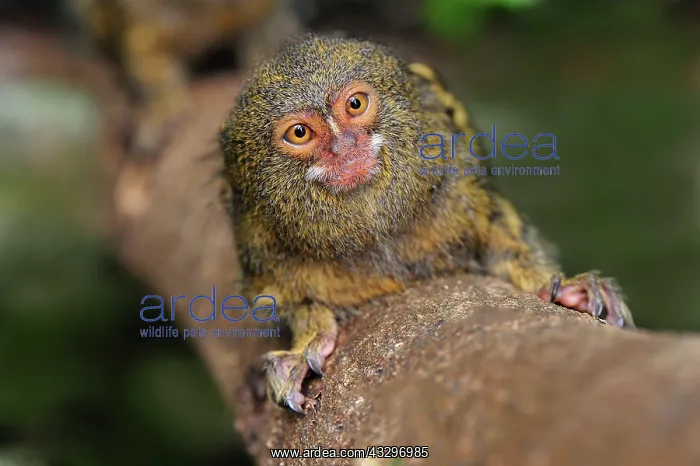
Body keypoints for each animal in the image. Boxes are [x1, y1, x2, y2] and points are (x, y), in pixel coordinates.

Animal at [219, 33, 635, 415]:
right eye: (300, 133)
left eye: (355, 104)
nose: (345, 147)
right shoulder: (260, 243)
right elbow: (292, 303)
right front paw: (307, 341)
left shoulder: (463, 182)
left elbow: (501, 243)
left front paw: (563, 288)